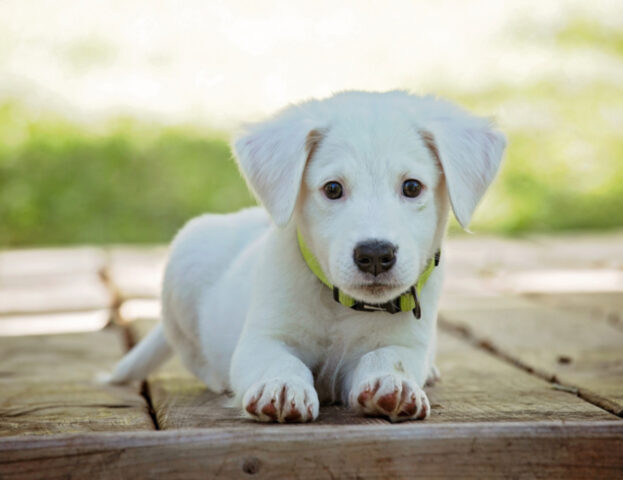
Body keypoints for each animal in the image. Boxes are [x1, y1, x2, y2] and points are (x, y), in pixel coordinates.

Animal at [108, 89, 508, 420]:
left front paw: (391, 384)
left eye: (412, 187)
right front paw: (282, 387)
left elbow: (388, 357)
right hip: (185, 263)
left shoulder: (407, 343)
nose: (375, 255)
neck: (342, 307)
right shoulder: (262, 338)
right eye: (332, 189)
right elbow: (280, 361)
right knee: (195, 357)